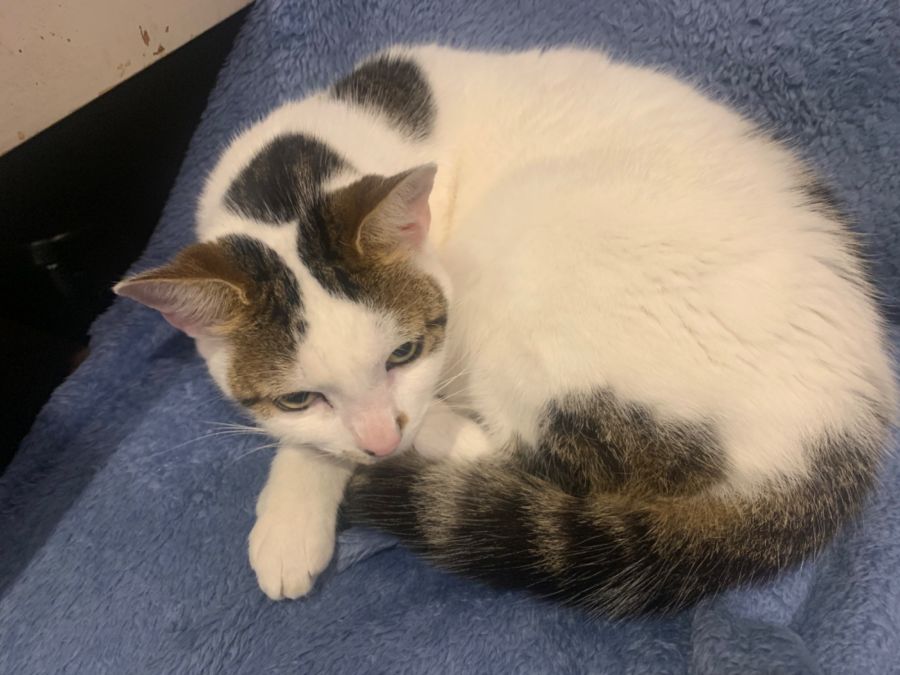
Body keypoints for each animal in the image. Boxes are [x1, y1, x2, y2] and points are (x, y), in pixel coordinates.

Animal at [115, 45, 897, 616]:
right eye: (300, 395)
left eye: (402, 353)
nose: (381, 440)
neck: (290, 179)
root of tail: (842, 426)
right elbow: (312, 432)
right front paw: (301, 493)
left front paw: (301, 502)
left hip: (527, 258)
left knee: (526, 450)